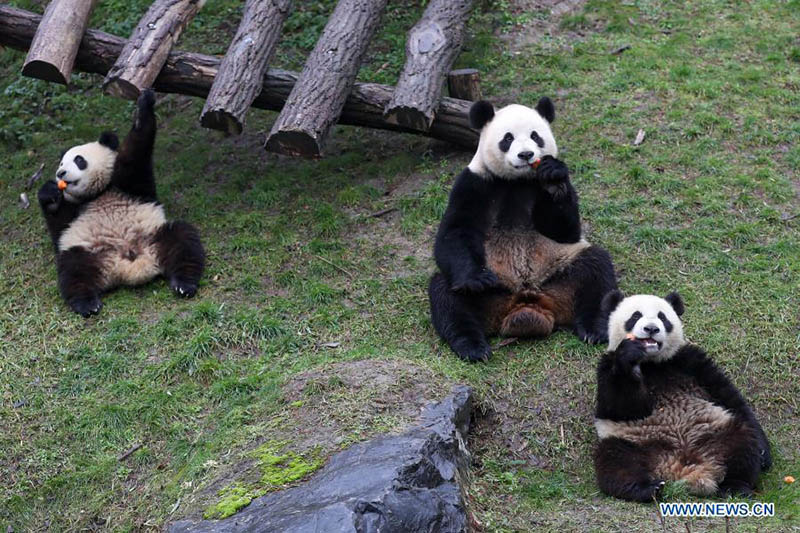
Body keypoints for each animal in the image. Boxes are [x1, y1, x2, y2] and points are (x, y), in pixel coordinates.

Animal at [39, 88, 205, 316]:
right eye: (61, 163)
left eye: (78, 160)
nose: (60, 173)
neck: (97, 194)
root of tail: (129, 267)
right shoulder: (75, 213)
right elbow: (60, 227)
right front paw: (50, 193)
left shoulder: (127, 185)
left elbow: (134, 153)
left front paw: (144, 106)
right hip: (89, 251)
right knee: (73, 270)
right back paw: (87, 303)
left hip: (154, 235)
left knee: (183, 240)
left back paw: (184, 283)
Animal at [428, 97, 616, 360]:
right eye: (508, 138)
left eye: (536, 136)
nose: (526, 154)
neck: (517, 180)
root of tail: (527, 305)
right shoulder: (475, 183)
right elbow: (455, 231)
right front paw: (477, 277)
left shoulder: (540, 187)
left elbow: (564, 231)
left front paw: (553, 178)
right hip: (491, 289)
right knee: (448, 296)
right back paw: (473, 346)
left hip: (560, 269)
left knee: (597, 272)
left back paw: (593, 329)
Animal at [592, 288, 768, 500]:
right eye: (635, 316)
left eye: (662, 317)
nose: (651, 329)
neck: (652, 362)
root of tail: (686, 467)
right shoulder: (607, 365)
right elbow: (620, 407)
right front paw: (630, 356)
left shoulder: (688, 361)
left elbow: (728, 395)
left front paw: (765, 454)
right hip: (636, 443)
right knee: (616, 461)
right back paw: (648, 489)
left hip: (715, 431)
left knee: (742, 443)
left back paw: (736, 486)